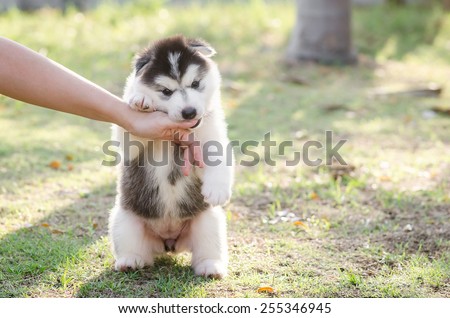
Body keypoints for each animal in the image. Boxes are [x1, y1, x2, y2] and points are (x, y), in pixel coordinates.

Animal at [109, 35, 234, 278]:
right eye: (166, 91)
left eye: (195, 84)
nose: (189, 112)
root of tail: (169, 241)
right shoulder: (131, 143)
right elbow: (129, 132)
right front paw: (140, 98)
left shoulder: (212, 137)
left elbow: (218, 158)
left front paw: (217, 189)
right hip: (123, 219)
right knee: (134, 248)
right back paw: (130, 260)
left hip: (209, 220)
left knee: (208, 247)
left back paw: (210, 266)